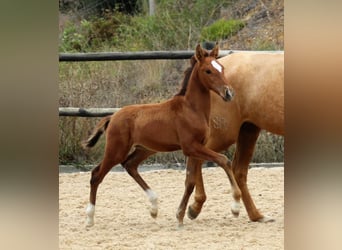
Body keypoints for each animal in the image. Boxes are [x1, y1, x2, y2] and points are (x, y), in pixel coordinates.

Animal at [82, 44, 240, 228]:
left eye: (222, 68)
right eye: (208, 71)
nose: (229, 93)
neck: (191, 109)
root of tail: (112, 117)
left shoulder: (196, 148)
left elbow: (190, 182)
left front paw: (180, 216)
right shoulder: (190, 147)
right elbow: (223, 160)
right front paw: (235, 206)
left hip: (145, 149)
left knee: (130, 165)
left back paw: (154, 207)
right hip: (116, 150)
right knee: (96, 175)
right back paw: (89, 218)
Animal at [175, 50, 284, 225]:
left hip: (248, 130)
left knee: (238, 171)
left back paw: (256, 215)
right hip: (225, 134)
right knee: (199, 158)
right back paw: (195, 207)